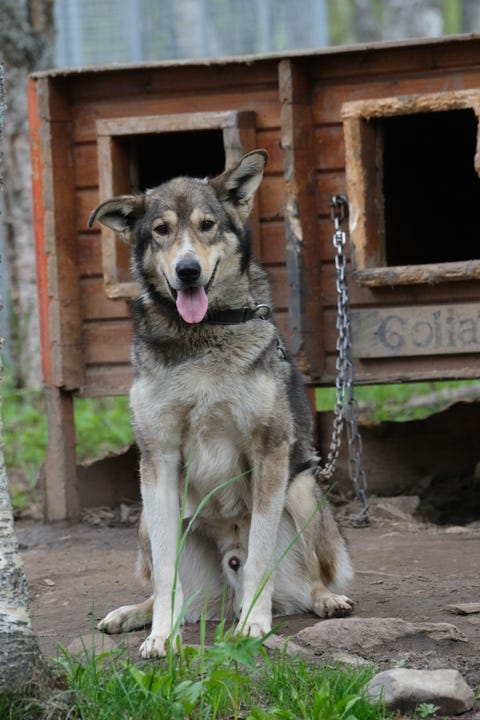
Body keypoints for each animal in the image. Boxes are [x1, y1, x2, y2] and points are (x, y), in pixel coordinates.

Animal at [89, 150, 354, 658]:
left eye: (207, 225)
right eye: (161, 230)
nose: (188, 270)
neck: (202, 333)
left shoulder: (269, 452)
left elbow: (261, 555)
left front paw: (254, 626)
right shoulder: (158, 458)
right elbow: (166, 575)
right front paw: (161, 636)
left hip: (303, 491)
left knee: (311, 578)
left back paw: (322, 600)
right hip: (146, 519)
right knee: (164, 584)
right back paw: (133, 613)